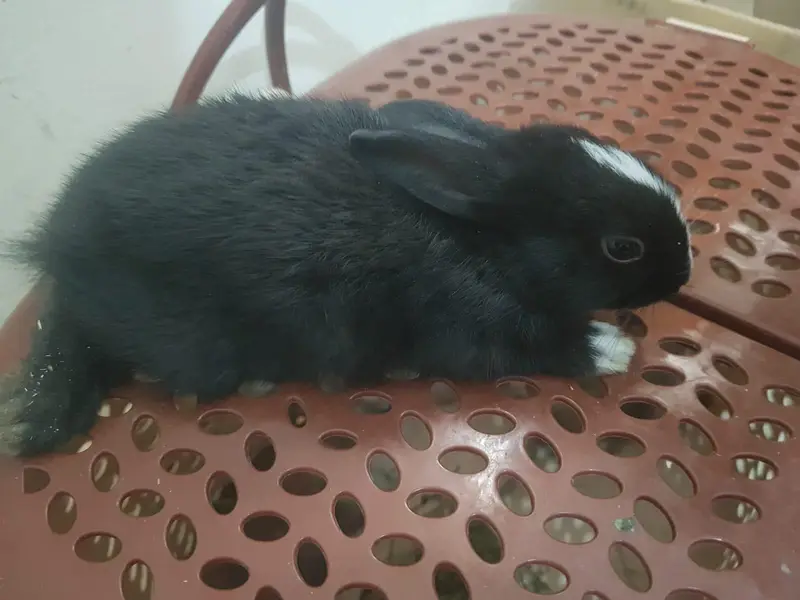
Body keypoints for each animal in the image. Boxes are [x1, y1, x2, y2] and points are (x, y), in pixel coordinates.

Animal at [0, 92, 691, 456]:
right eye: (622, 247)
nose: (684, 270)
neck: (477, 236)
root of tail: (60, 238)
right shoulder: (474, 326)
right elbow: (539, 343)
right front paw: (612, 346)